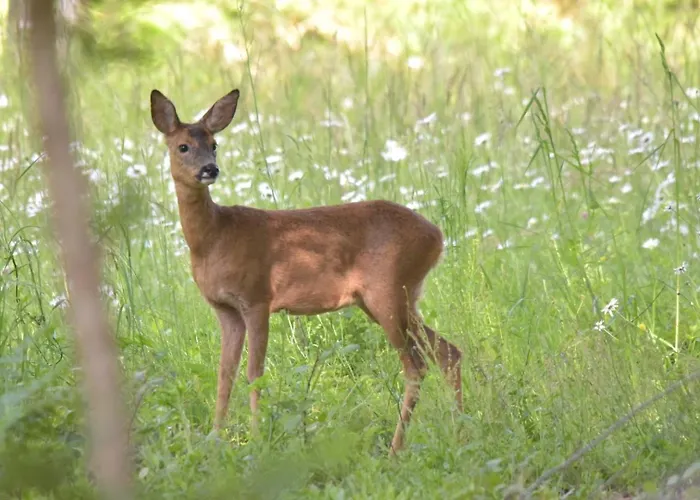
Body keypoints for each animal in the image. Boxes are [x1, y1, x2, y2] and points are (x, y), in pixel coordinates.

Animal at [149, 88, 464, 456]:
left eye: (214, 144)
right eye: (183, 146)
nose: (209, 169)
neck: (214, 238)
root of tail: (437, 235)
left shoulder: (257, 298)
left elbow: (255, 372)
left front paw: (257, 442)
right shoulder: (225, 310)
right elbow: (224, 375)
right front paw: (215, 443)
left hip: (387, 291)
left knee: (417, 367)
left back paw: (395, 450)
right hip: (398, 298)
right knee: (449, 353)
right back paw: (461, 431)